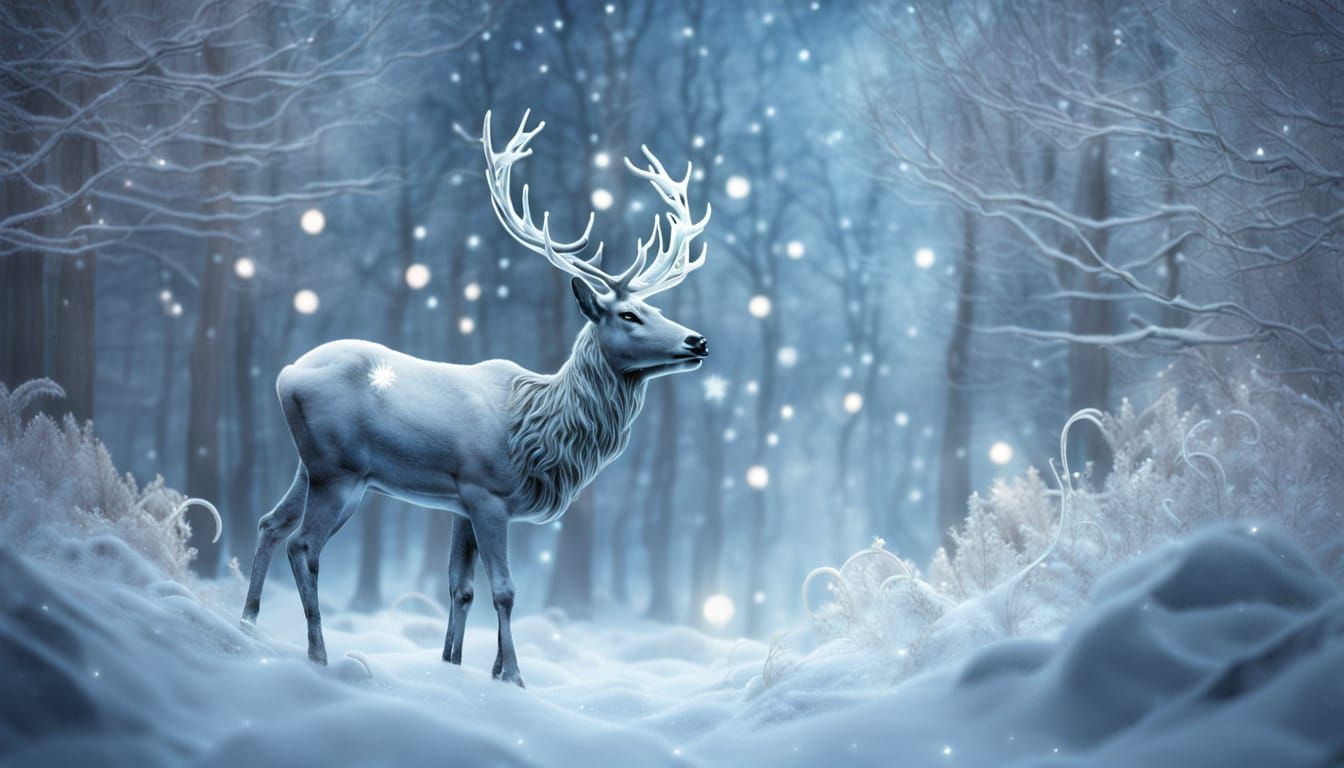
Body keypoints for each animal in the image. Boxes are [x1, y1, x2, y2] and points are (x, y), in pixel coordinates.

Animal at [240, 111, 711, 687]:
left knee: (269, 522)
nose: (697, 341)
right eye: (628, 315)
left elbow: (460, 589)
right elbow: (504, 591)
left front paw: (456, 665)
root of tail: (286, 373)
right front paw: (513, 677)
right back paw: (318, 655)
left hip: (308, 466)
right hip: (340, 471)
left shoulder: (458, 501)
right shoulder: (487, 492)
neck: (541, 434)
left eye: (656, 308)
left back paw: (248, 623)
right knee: (303, 544)